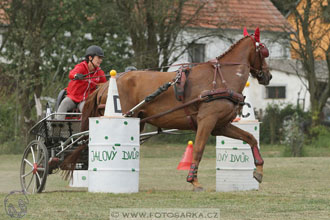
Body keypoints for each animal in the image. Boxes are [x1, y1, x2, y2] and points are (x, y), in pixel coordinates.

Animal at [67, 27, 270, 191]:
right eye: (264, 51)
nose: (268, 76)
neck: (221, 79)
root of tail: (105, 85)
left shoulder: (220, 125)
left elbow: (250, 138)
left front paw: (259, 170)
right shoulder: (207, 121)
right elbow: (198, 149)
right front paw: (193, 180)